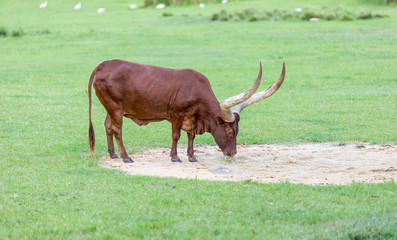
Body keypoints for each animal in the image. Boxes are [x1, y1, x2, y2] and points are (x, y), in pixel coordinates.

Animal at [88, 59, 284, 163]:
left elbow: (191, 136)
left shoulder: (192, 118)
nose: (232, 153)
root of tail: (103, 65)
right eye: (229, 132)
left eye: (237, 131)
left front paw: (192, 156)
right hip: (116, 109)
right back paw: (125, 156)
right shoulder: (177, 114)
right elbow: (176, 135)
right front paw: (175, 157)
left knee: (107, 126)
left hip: (110, 108)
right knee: (117, 130)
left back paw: (113, 154)